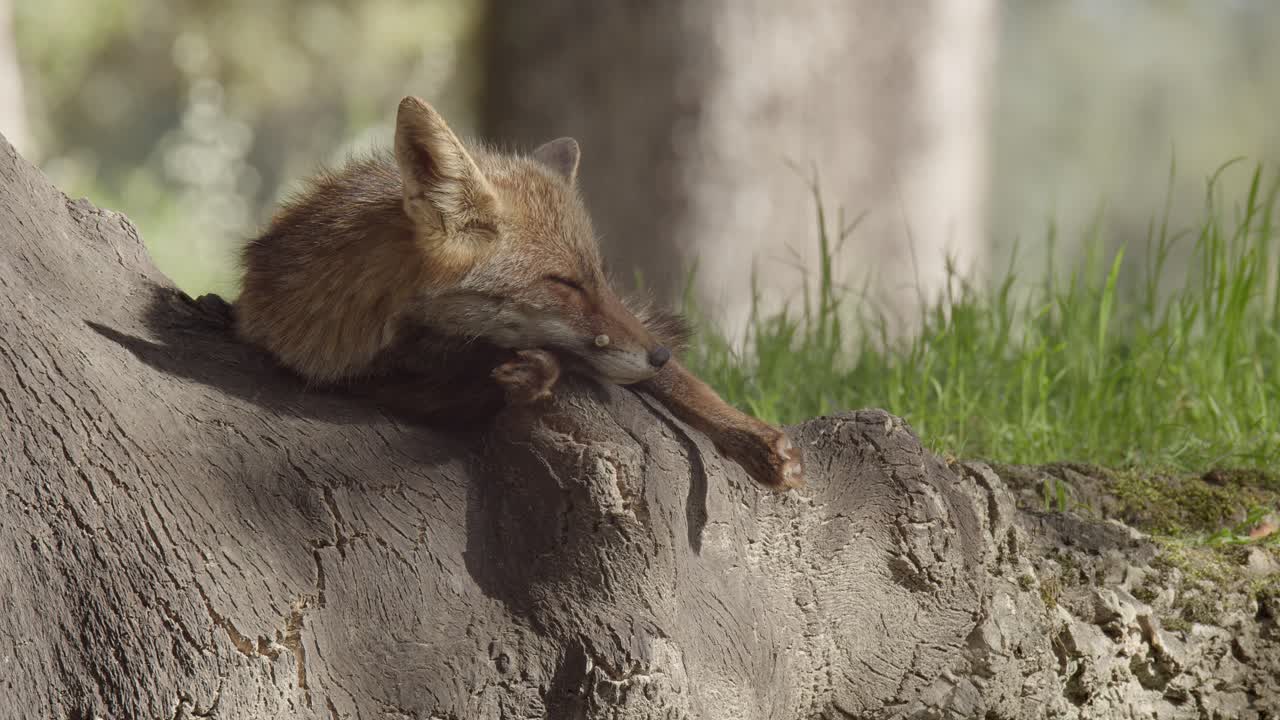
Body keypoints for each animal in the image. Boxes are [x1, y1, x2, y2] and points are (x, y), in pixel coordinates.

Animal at [234, 96, 803, 490]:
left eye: (600, 277)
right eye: (565, 284)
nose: (659, 354)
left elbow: (682, 384)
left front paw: (748, 433)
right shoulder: (362, 379)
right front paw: (532, 375)